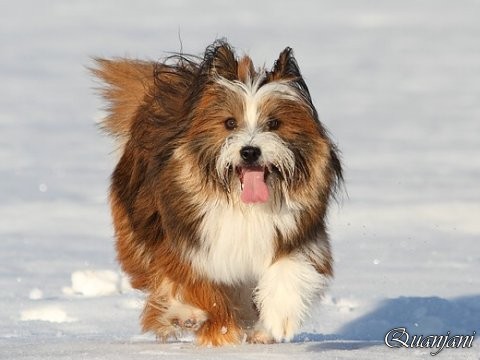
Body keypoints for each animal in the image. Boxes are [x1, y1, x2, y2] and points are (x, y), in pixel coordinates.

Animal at [92, 40, 344, 346]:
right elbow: (197, 285)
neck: (243, 206)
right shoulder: (189, 242)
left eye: (274, 123)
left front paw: (277, 320)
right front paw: (219, 327)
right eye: (229, 123)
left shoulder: (298, 234)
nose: (250, 151)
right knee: (160, 279)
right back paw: (183, 315)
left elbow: (290, 267)